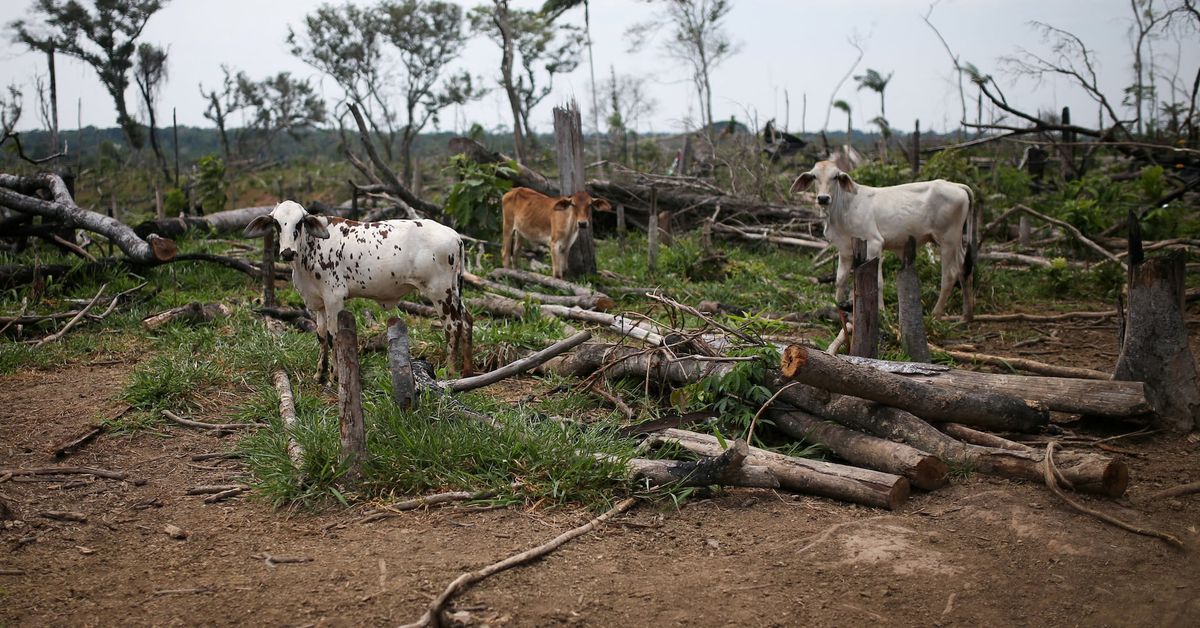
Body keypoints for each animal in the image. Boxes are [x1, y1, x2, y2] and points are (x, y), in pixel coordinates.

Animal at [244, 201, 472, 381]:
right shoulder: (319, 302)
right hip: (454, 290)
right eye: (276, 223)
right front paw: (319, 374)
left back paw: (451, 371)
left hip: (440, 292)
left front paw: (334, 376)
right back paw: (467, 372)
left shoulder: (334, 297)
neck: (311, 249)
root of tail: (455, 236)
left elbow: (333, 336)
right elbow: (320, 335)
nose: (287, 252)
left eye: (299, 223)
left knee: (452, 326)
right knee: (467, 321)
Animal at [787, 162, 974, 319]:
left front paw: (881, 312)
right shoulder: (845, 249)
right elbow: (840, 279)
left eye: (835, 177)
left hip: (947, 239)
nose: (823, 198)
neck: (843, 208)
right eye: (814, 176)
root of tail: (956, 185)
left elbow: (878, 282)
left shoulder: (874, 243)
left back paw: (936, 314)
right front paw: (837, 307)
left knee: (950, 274)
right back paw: (966, 316)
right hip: (956, 242)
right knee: (964, 270)